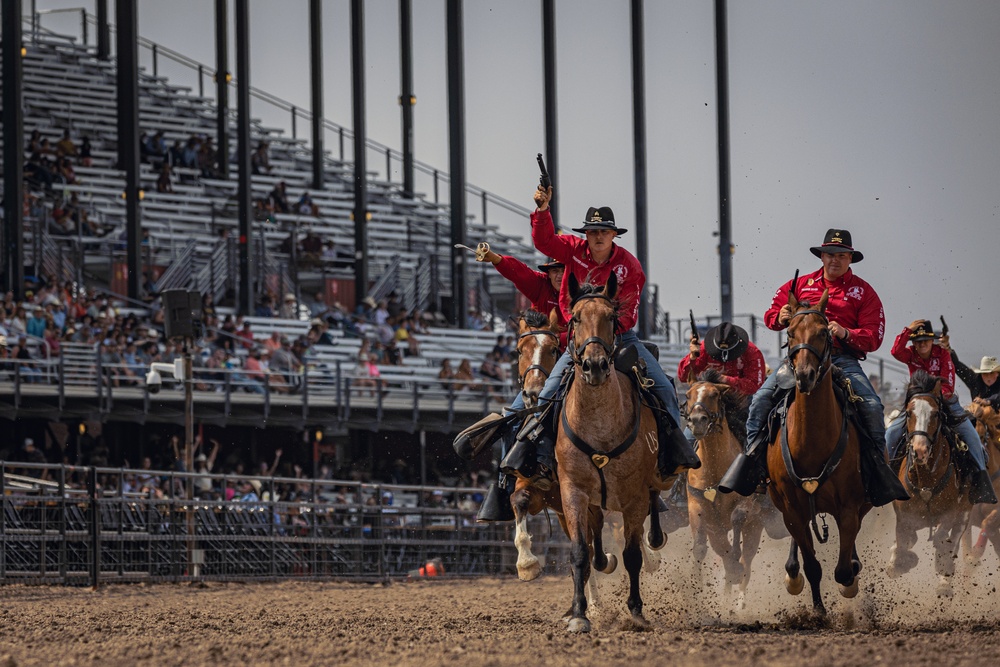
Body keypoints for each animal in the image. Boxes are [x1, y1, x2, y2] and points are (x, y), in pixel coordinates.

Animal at [560, 274, 668, 636]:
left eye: (611, 317)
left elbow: (633, 555)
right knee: (595, 543)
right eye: (575, 318)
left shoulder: (635, 497)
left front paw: (636, 612)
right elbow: (580, 552)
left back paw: (656, 539)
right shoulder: (573, 492)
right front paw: (579, 615)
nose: (594, 366)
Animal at [684, 370, 784, 604]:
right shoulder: (697, 507)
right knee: (723, 551)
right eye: (688, 394)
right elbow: (700, 548)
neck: (714, 469)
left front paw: (735, 567)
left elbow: (737, 518)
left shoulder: (747, 505)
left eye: (714, 394)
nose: (697, 421)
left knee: (747, 562)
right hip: (717, 529)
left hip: (755, 527)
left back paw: (739, 601)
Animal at [768, 292, 872, 616]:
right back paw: (792, 573)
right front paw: (817, 612)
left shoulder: (850, 506)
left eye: (825, 332)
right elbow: (813, 565)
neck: (811, 442)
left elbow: (843, 570)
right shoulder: (791, 508)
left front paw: (850, 582)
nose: (805, 375)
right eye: (789, 332)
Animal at [888, 370, 972, 596]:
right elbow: (902, 545)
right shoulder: (904, 517)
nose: (920, 450)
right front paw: (897, 562)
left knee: (954, 541)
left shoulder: (951, 514)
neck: (926, 479)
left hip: (965, 513)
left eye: (935, 414)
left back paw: (945, 582)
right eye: (909, 413)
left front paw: (942, 570)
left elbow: (942, 540)